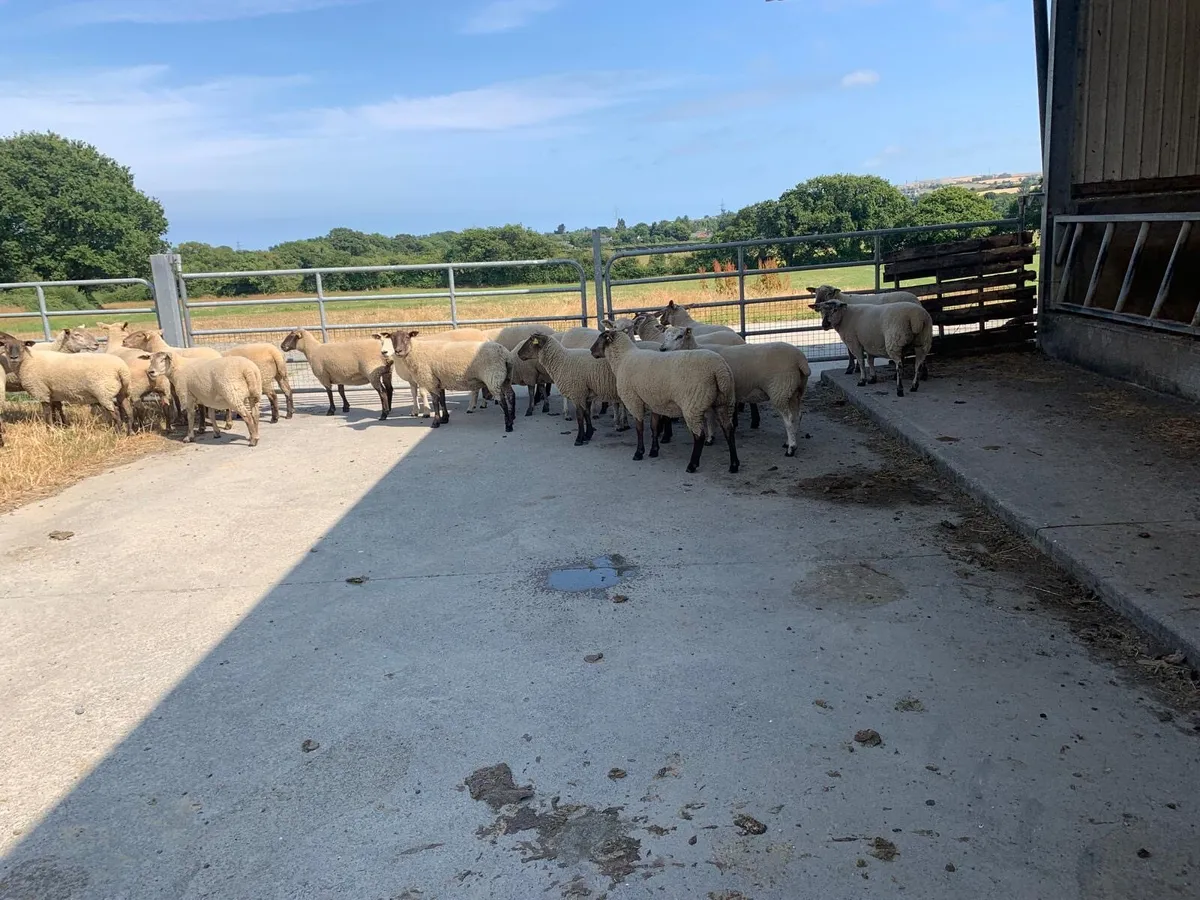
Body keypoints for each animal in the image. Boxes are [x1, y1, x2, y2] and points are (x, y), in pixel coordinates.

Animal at [1, 333, 132, 433]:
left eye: (23, 346)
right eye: (6, 346)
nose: (13, 357)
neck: (28, 360)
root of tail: (121, 369)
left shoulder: (41, 391)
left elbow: (47, 413)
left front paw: (49, 430)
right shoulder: (52, 392)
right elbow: (55, 409)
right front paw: (60, 425)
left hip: (103, 392)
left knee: (115, 413)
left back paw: (118, 432)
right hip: (121, 391)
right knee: (128, 410)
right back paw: (129, 432)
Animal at [378, 330, 515, 433]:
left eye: (407, 337)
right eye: (392, 338)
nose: (398, 351)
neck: (415, 351)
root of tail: (506, 355)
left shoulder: (430, 380)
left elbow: (435, 402)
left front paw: (436, 422)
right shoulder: (439, 380)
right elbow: (442, 401)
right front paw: (445, 418)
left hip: (493, 377)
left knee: (502, 400)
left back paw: (508, 425)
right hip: (505, 377)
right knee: (511, 395)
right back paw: (512, 416)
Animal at [590, 328, 738, 473]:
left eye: (600, 338)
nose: (591, 351)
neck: (623, 358)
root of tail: (719, 370)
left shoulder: (633, 400)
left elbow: (640, 428)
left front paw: (639, 453)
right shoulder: (654, 402)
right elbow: (654, 427)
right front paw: (654, 451)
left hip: (693, 405)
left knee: (699, 436)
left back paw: (692, 465)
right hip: (725, 401)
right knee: (729, 430)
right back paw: (734, 465)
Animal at [658, 325, 811, 457]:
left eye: (679, 336)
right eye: (665, 336)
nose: (663, 349)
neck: (694, 350)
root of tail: (800, 359)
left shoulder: (706, 391)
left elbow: (709, 418)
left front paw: (709, 439)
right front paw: (711, 436)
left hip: (780, 390)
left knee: (789, 419)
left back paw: (791, 448)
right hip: (794, 391)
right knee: (797, 416)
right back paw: (789, 442)